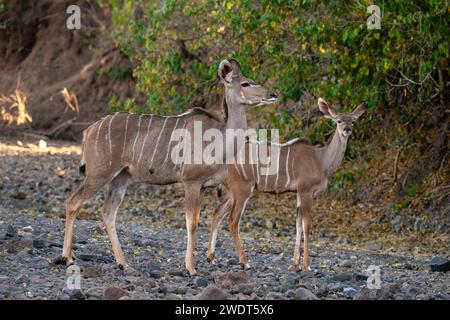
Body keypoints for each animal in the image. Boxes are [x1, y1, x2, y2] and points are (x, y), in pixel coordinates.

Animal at [59, 59, 278, 276]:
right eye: (246, 83)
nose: (273, 94)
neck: (219, 140)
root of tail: (89, 130)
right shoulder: (191, 181)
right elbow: (192, 222)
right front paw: (191, 268)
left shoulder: (205, 186)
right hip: (99, 173)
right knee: (74, 201)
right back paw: (68, 257)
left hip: (120, 177)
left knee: (108, 213)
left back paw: (124, 264)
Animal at [207, 97, 366, 270]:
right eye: (338, 120)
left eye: (353, 121)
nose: (347, 130)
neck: (321, 161)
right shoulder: (306, 190)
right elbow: (306, 225)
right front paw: (307, 265)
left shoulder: (298, 193)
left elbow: (298, 224)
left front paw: (296, 264)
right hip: (242, 189)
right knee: (233, 220)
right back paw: (245, 262)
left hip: (232, 192)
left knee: (217, 213)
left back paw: (211, 258)